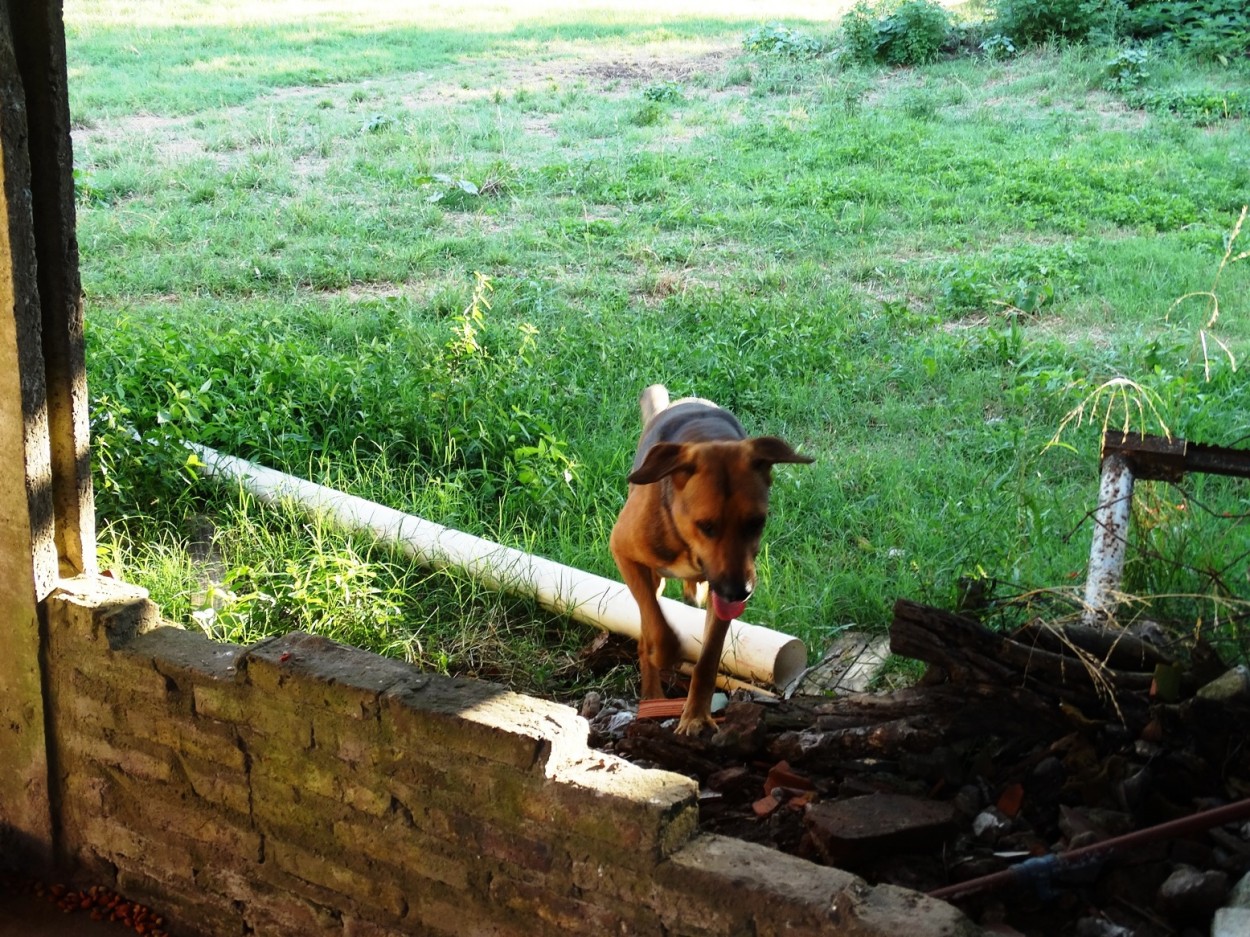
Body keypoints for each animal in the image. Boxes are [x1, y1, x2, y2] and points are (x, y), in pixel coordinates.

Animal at [610, 384, 815, 739]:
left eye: (756, 522)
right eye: (706, 526)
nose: (740, 592)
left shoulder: (722, 590)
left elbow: (708, 659)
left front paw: (695, 717)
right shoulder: (623, 551)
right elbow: (656, 624)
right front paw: (666, 652)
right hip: (654, 576)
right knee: (649, 620)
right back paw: (652, 695)